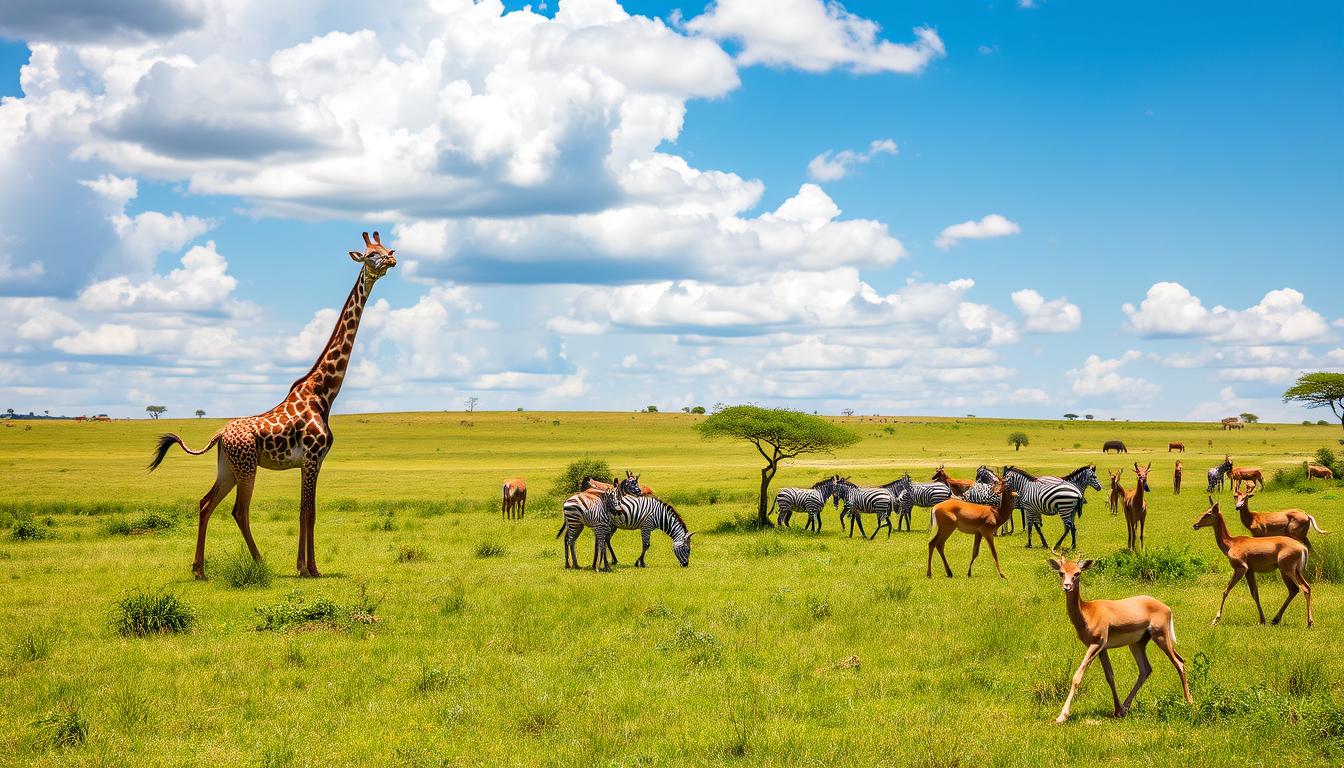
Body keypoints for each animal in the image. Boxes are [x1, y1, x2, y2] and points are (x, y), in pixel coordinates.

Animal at [151, 231, 395, 581]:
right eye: (370, 255)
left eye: (387, 249)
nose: (391, 261)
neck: (324, 393)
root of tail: (219, 435)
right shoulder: (311, 458)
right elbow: (307, 513)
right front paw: (309, 568)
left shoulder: (314, 462)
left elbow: (308, 511)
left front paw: (307, 566)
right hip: (247, 467)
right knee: (239, 510)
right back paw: (258, 561)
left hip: (228, 467)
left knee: (205, 503)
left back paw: (199, 570)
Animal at [1042, 556, 1193, 726]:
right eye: (1061, 572)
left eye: (1077, 573)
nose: (1067, 586)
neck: (1088, 613)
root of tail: (1167, 608)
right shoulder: (1103, 648)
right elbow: (1110, 676)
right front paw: (1116, 710)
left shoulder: (1096, 644)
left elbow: (1077, 677)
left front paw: (1062, 716)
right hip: (1137, 644)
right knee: (1146, 669)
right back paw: (1125, 708)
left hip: (1160, 636)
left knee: (1179, 663)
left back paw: (1190, 703)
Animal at [1198, 497, 1311, 632]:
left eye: (1208, 513)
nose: (1195, 525)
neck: (1231, 544)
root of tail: (1303, 549)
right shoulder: (1250, 570)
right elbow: (1255, 594)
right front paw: (1262, 620)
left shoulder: (1241, 567)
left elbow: (1225, 591)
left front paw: (1215, 619)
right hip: (1291, 570)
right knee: (1298, 589)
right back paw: (1275, 620)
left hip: (1288, 568)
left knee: (1303, 589)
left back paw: (1309, 623)